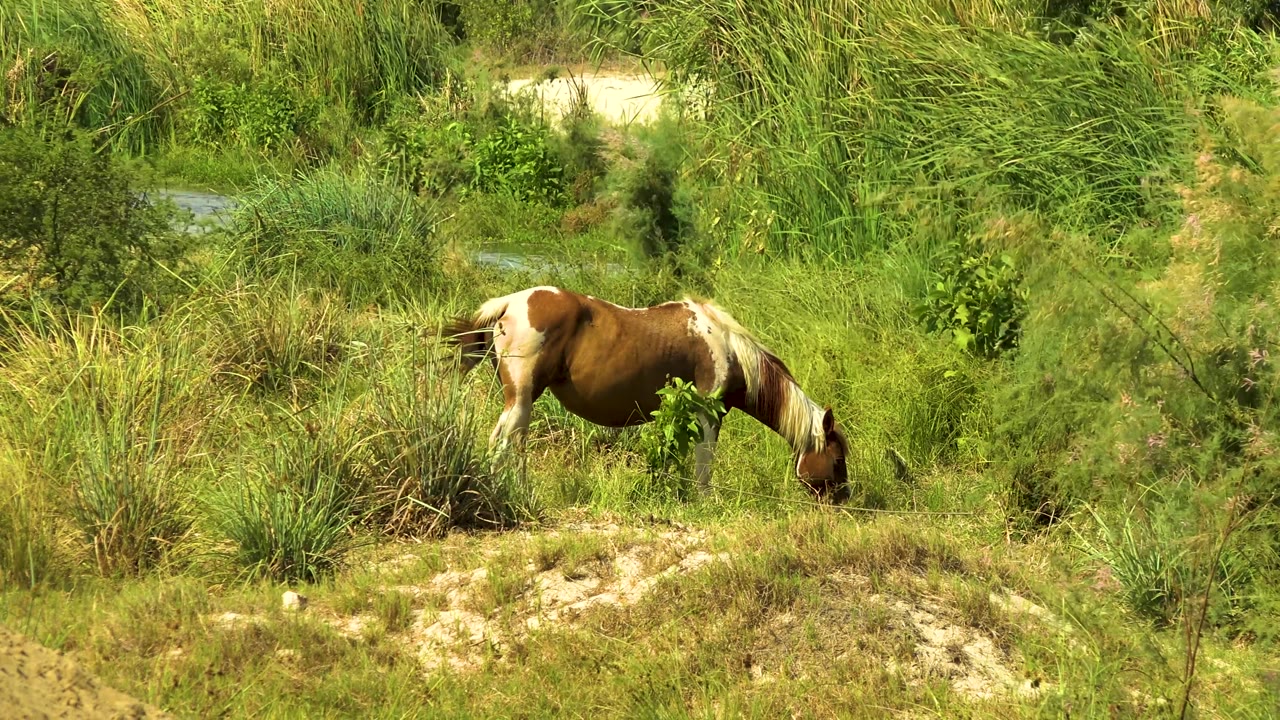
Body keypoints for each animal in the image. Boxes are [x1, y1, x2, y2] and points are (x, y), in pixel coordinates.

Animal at [440, 286, 849, 501]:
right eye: (837, 459)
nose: (843, 500)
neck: (728, 346)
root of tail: (511, 303)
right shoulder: (707, 414)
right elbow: (704, 464)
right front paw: (704, 501)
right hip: (522, 399)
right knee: (505, 443)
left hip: (518, 401)